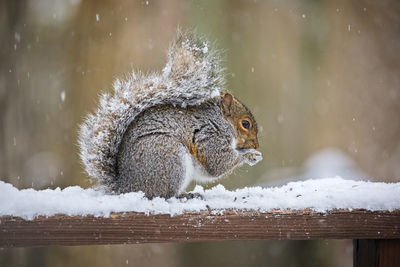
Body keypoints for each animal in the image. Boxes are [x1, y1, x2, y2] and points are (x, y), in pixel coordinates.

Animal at [79, 30, 264, 199]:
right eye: (245, 124)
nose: (256, 146)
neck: (220, 121)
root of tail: (127, 187)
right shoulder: (209, 136)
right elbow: (218, 163)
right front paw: (250, 155)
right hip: (170, 158)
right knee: (165, 194)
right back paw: (184, 195)